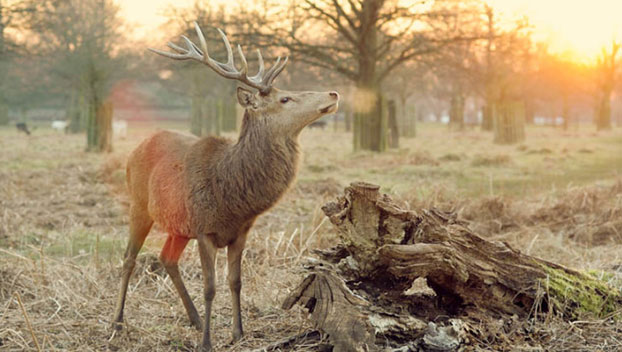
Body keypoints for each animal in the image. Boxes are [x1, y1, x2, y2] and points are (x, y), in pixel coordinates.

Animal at [109, 22, 338, 352]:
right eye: (285, 99)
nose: (333, 92)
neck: (231, 195)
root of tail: (137, 146)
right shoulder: (205, 229)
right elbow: (210, 286)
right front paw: (207, 342)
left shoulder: (240, 231)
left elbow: (235, 281)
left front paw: (238, 333)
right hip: (139, 204)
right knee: (129, 258)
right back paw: (117, 323)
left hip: (179, 225)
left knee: (167, 258)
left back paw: (193, 318)